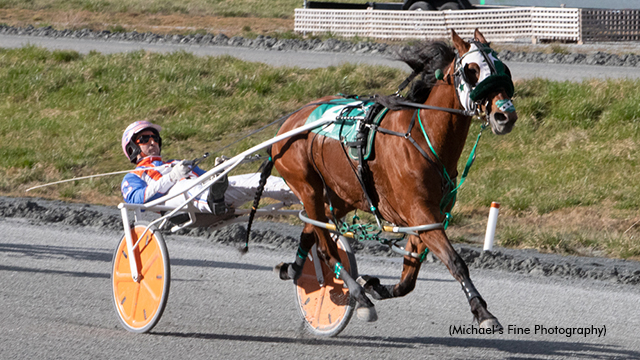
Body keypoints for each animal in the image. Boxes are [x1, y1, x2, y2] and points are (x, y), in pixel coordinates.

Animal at [264, 30, 516, 330]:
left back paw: (295, 268)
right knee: (325, 245)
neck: (422, 137)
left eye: (502, 68)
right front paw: (483, 312)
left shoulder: (427, 219)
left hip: (343, 194)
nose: (505, 115)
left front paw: (377, 286)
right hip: (307, 185)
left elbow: (408, 279)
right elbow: (455, 262)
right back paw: (358, 297)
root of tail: (289, 123)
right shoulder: (420, 212)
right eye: (472, 71)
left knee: (313, 227)